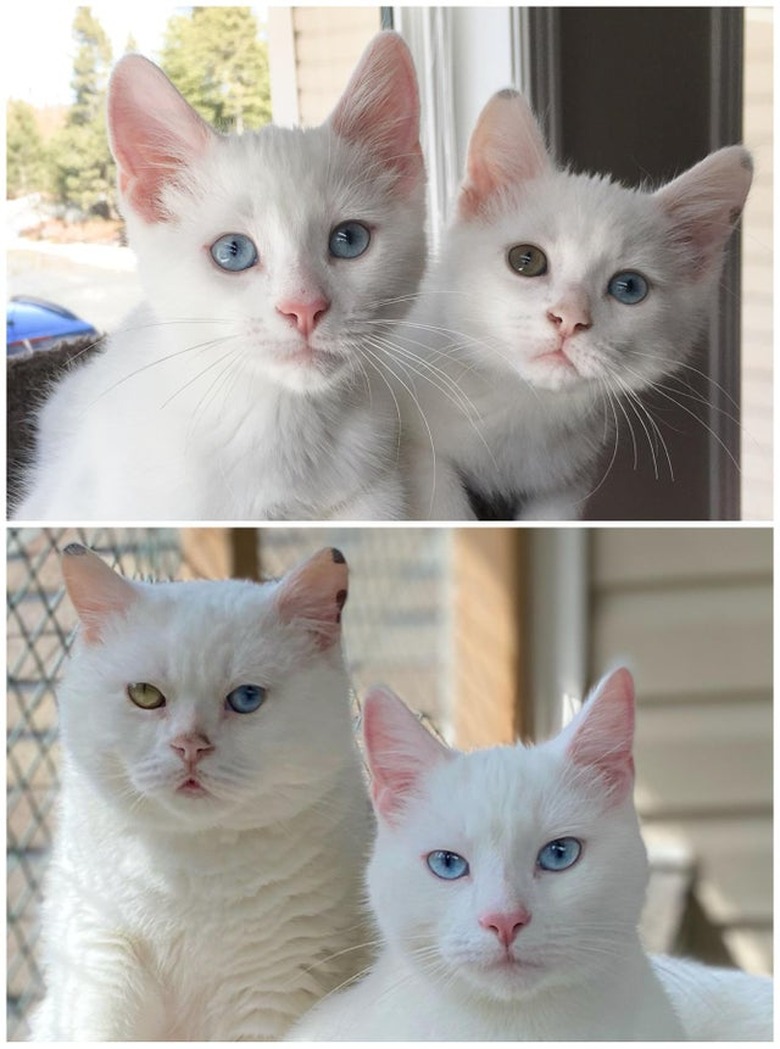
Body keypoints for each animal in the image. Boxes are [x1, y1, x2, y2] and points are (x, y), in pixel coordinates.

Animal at [31, 545, 371, 1036]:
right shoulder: (97, 955)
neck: (186, 874)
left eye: (247, 698)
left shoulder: (275, 993)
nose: (190, 745)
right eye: (145, 694)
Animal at [398, 88, 750, 518]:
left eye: (629, 287)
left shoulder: (567, 482)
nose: (568, 318)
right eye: (526, 260)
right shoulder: (414, 440)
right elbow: (441, 499)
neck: (523, 404)